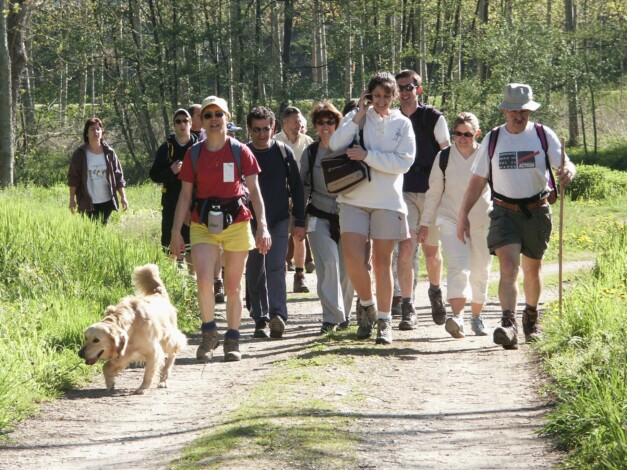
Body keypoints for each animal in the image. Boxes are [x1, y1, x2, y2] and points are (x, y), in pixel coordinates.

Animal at [78, 264, 188, 392]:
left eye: (96, 340)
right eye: (86, 338)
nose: (80, 354)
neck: (130, 327)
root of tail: (158, 293)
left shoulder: (153, 351)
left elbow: (148, 373)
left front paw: (143, 388)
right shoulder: (124, 353)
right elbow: (106, 367)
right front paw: (110, 384)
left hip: (167, 339)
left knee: (173, 352)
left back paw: (163, 380)